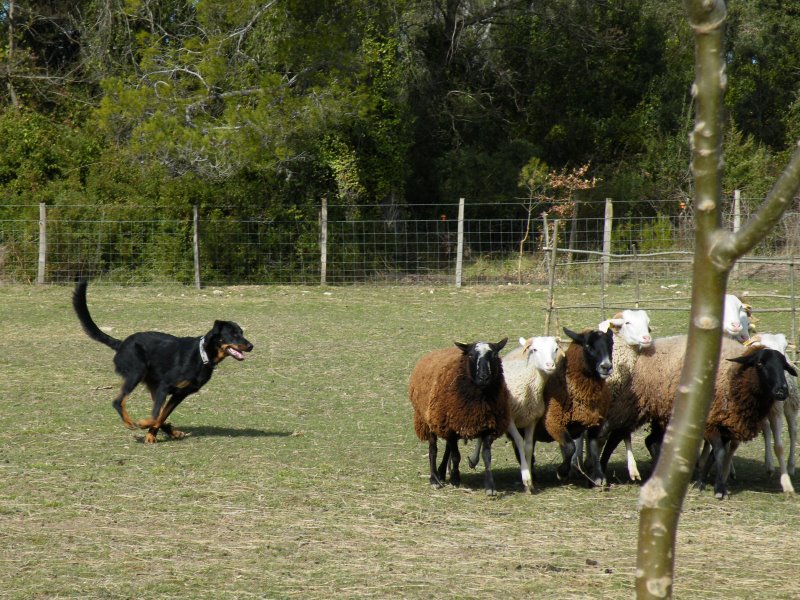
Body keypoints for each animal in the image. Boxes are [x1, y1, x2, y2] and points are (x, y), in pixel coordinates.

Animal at [74, 280, 253, 440]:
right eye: (233, 334)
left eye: (242, 332)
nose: (251, 346)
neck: (202, 355)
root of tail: (121, 343)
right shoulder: (165, 386)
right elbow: (156, 416)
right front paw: (144, 424)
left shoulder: (179, 393)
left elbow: (161, 416)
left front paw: (150, 435)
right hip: (137, 373)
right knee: (118, 401)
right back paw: (131, 422)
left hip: (153, 384)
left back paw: (172, 432)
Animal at [410, 338, 510, 496]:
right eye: (471, 355)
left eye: (494, 355)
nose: (484, 377)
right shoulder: (450, 427)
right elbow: (456, 456)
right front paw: (455, 479)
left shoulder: (488, 427)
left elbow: (486, 457)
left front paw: (490, 487)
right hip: (428, 420)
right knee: (433, 450)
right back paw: (434, 479)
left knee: (447, 449)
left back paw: (441, 473)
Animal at [536, 328, 616, 488]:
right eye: (588, 346)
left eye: (611, 344)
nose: (606, 367)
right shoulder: (553, 421)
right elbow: (569, 447)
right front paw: (561, 471)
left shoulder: (597, 422)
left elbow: (594, 446)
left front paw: (598, 476)